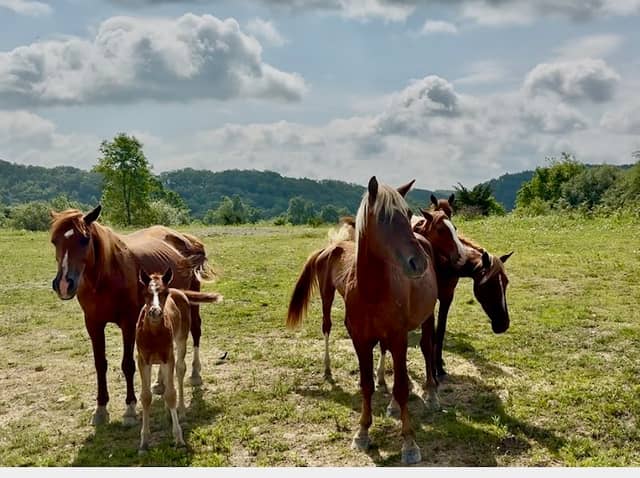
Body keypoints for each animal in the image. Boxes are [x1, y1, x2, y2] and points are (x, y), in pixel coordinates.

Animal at [49, 205, 215, 426]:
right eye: (54, 240)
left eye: (84, 239)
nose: (63, 284)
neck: (106, 276)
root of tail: (186, 239)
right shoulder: (93, 324)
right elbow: (100, 364)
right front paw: (100, 409)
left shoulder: (128, 323)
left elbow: (127, 364)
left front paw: (130, 408)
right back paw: (159, 382)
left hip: (192, 301)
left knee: (196, 330)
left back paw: (196, 374)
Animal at [136, 268, 222, 453]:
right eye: (146, 293)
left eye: (164, 293)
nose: (155, 312)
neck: (153, 334)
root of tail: (179, 291)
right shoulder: (143, 360)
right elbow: (146, 397)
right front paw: (144, 442)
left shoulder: (168, 357)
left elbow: (171, 394)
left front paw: (179, 438)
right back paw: (168, 412)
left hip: (181, 340)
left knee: (180, 370)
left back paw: (181, 411)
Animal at [288, 177, 446, 464]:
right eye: (383, 217)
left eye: (408, 214)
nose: (418, 262)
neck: (372, 290)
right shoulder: (360, 340)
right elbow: (366, 384)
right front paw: (362, 432)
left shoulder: (399, 336)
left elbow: (402, 386)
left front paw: (409, 442)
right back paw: (392, 405)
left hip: (427, 317)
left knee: (427, 348)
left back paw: (431, 393)